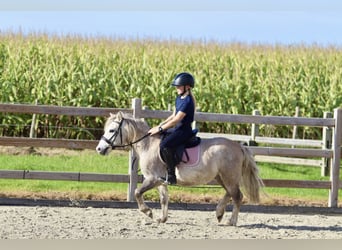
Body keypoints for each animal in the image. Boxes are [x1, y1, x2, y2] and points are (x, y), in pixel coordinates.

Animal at [96, 112, 264, 226]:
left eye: (111, 131)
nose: (99, 149)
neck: (148, 145)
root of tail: (239, 146)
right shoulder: (161, 182)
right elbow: (164, 199)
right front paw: (162, 218)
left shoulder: (152, 179)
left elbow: (137, 192)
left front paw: (148, 212)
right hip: (221, 177)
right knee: (230, 193)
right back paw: (219, 213)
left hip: (229, 177)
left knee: (237, 196)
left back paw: (231, 221)